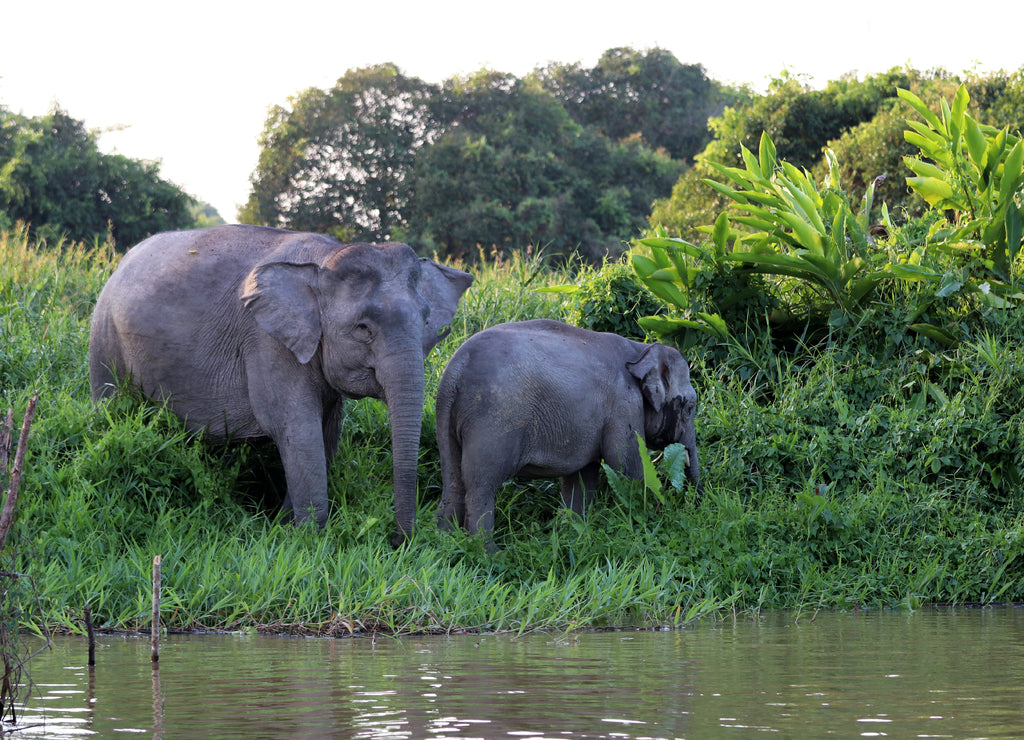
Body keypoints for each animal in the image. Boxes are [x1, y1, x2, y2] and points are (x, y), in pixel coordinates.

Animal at [88, 224, 473, 545]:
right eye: (363, 328)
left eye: (427, 320)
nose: (397, 541)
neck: (325, 258)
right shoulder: (267, 341)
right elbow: (297, 429)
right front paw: (309, 540)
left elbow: (325, 433)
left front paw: (285, 527)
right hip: (104, 339)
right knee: (111, 406)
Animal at [434, 318, 700, 548]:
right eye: (689, 407)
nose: (694, 504)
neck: (641, 349)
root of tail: (455, 370)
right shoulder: (624, 406)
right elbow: (628, 469)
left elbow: (582, 478)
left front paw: (574, 535)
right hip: (493, 421)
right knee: (481, 485)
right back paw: (489, 553)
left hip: (449, 419)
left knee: (453, 478)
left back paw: (448, 543)